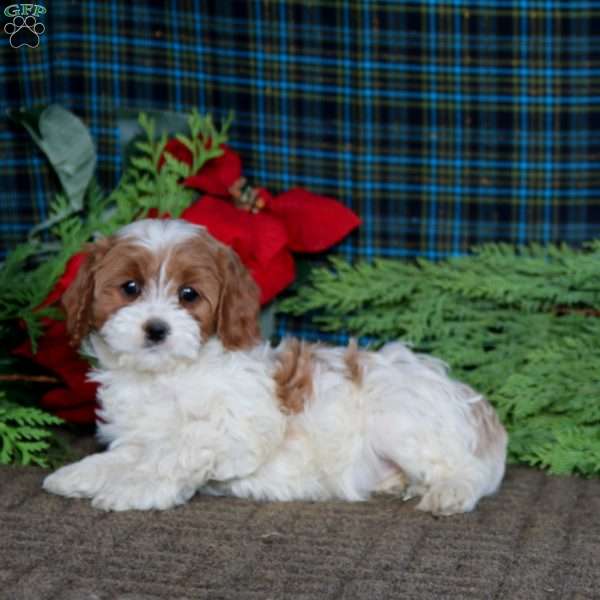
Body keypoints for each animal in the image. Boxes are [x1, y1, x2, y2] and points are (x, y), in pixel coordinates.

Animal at [43, 219, 506, 516]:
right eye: (130, 288)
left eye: (189, 295)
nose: (156, 329)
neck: (165, 377)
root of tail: (478, 407)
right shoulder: (139, 434)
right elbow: (127, 455)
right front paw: (81, 475)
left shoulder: (241, 426)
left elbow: (179, 449)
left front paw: (134, 488)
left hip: (400, 418)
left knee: (465, 470)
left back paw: (448, 493)